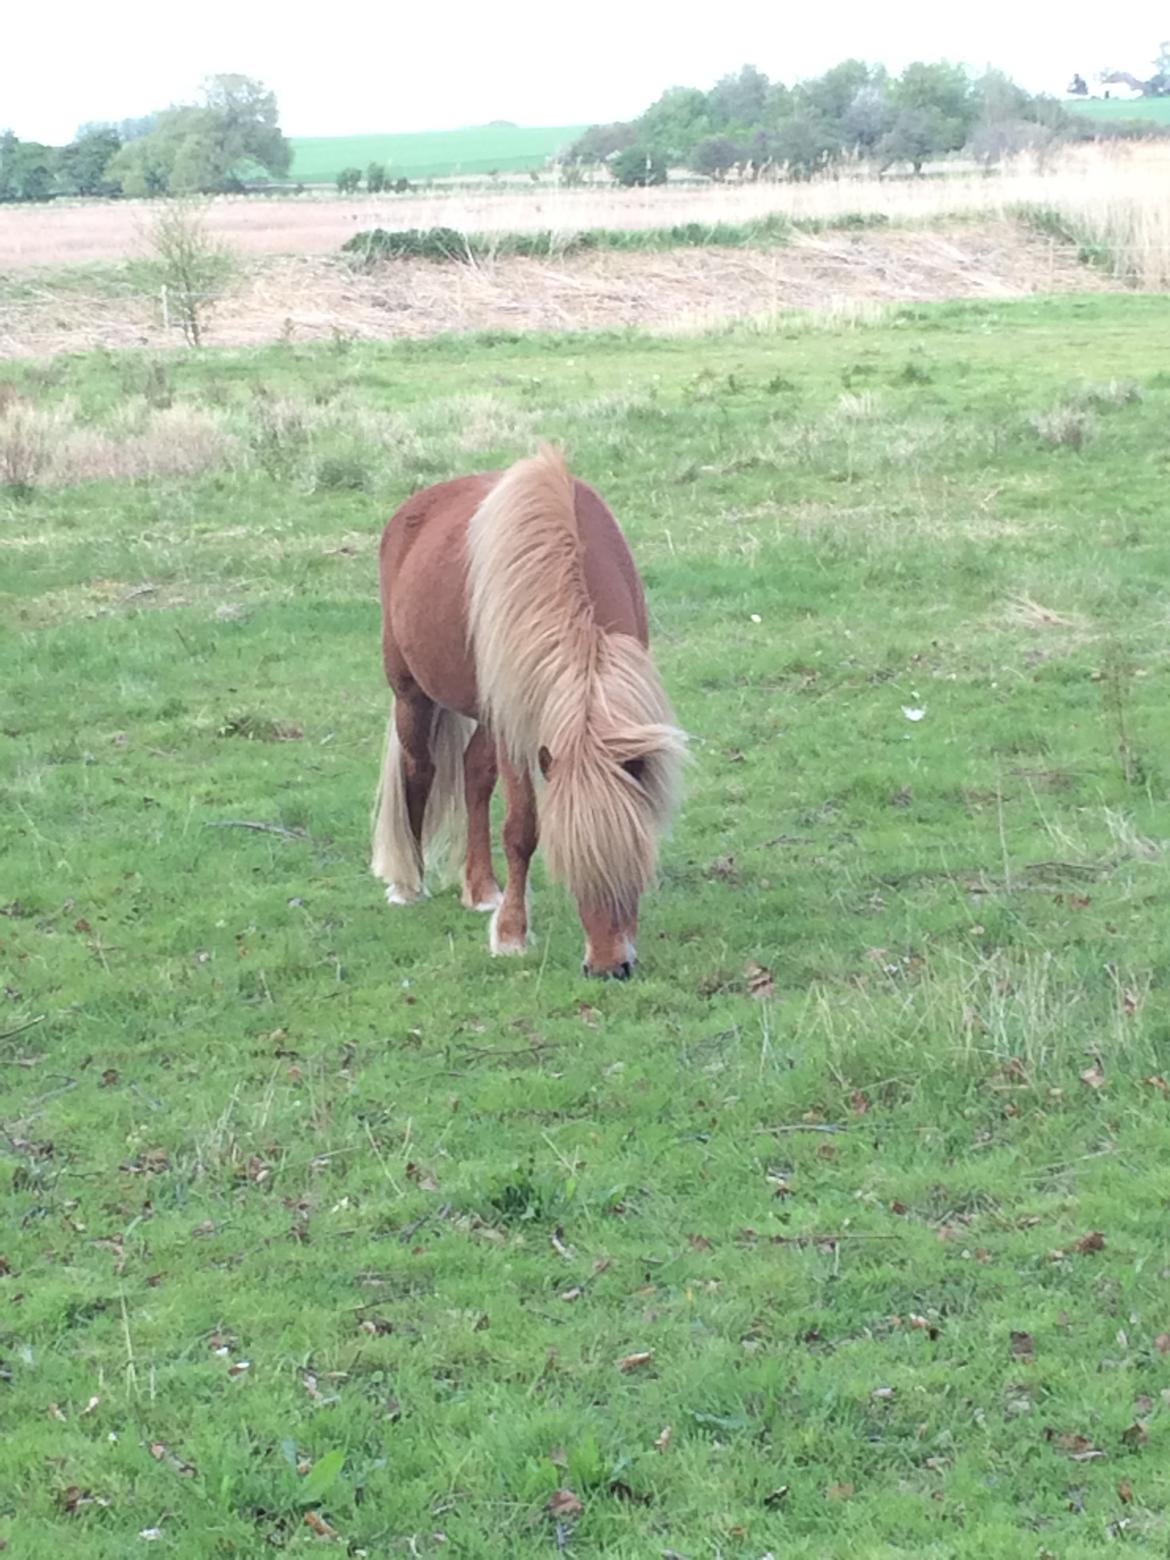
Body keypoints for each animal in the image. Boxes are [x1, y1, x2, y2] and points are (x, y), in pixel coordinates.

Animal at [372, 443, 686, 973]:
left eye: (633, 861)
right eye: (571, 867)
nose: (609, 968)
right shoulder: (515, 729)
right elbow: (521, 830)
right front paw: (512, 935)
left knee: (473, 775)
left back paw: (481, 888)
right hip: (412, 695)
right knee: (420, 770)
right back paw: (407, 885)